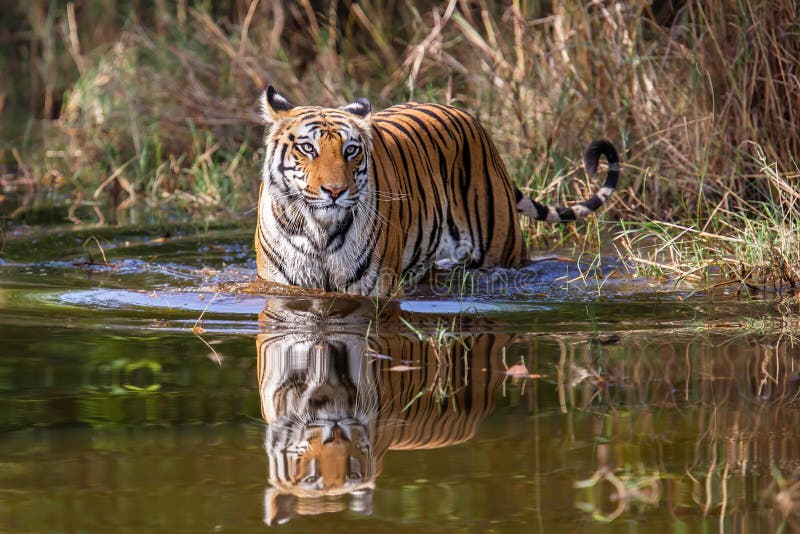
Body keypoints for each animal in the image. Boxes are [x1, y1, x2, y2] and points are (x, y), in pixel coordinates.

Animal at [256, 88, 620, 298]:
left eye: (350, 150)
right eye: (308, 148)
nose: (335, 190)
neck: (320, 230)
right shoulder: (280, 284)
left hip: (501, 252)